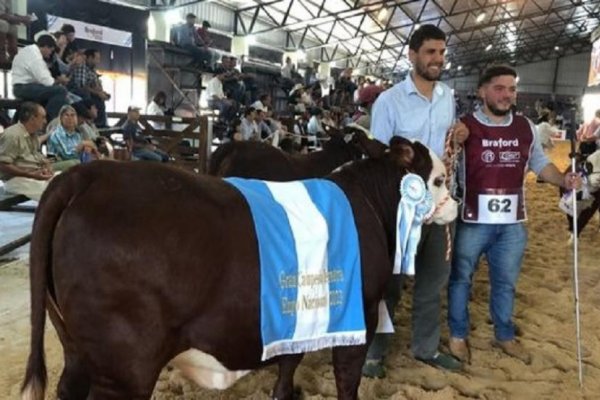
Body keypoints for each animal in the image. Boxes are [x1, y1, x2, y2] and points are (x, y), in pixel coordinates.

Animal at [21, 137, 458, 396]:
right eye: (438, 179)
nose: (455, 205)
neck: (368, 203)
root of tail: (87, 175)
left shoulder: (299, 316)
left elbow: (289, 362)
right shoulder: (361, 311)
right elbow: (346, 379)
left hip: (74, 343)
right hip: (125, 362)